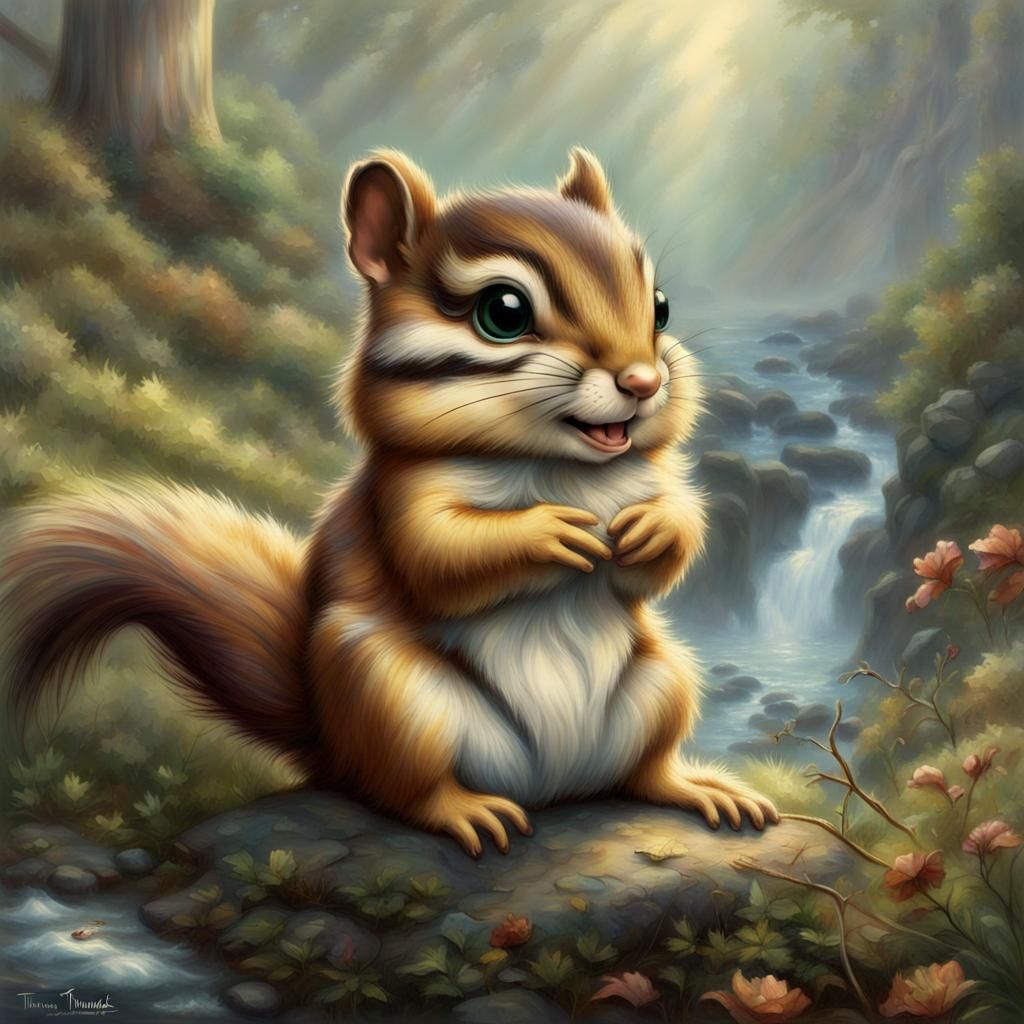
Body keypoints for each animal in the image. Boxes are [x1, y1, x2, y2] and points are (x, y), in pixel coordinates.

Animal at [1, 148, 778, 857]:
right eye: (503, 311)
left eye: (660, 306)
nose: (643, 381)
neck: (561, 468)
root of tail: (549, 787)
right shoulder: (401, 499)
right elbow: (440, 557)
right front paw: (547, 533)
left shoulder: (653, 480)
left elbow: (673, 536)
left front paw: (655, 528)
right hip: (390, 693)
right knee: (399, 789)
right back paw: (464, 810)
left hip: (665, 680)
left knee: (639, 774)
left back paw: (697, 787)